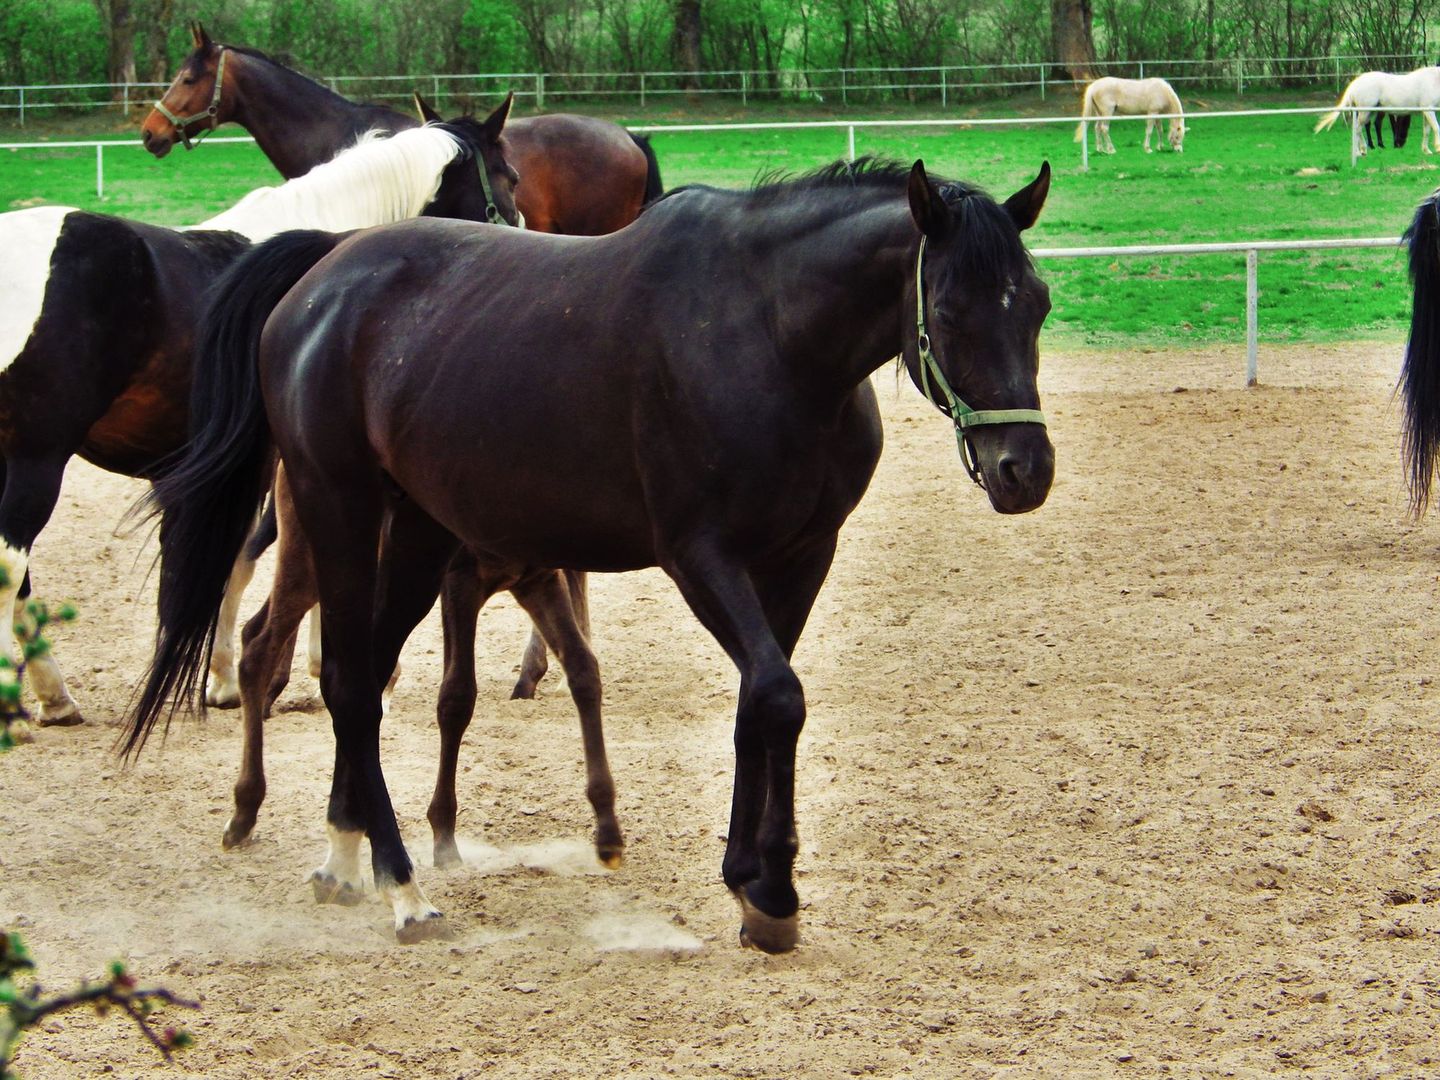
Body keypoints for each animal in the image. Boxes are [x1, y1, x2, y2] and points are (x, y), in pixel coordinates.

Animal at [129, 156, 1054, 950]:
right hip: (340, 515)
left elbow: (759, 704)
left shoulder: (800, 559)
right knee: (345, 682)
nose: (1026, 470)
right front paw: (774, 890)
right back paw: (402, 886)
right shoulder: (702, 558)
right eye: (954, 309)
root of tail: (323, 271)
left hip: (418, 535)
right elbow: (779, 698)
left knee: (363, 675)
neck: (767, 336)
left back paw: (344, 855)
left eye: (1038, 304)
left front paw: (748, 881)